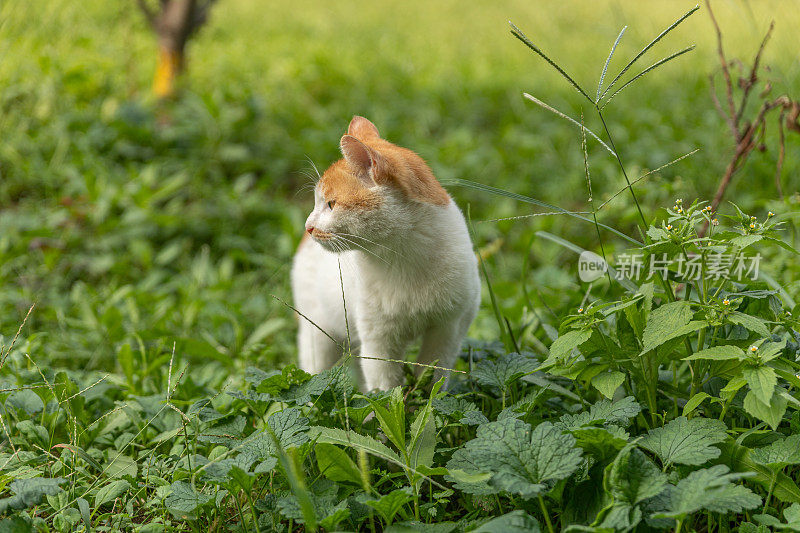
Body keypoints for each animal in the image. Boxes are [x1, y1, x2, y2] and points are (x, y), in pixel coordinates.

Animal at [292, 116, 482, 390]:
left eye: (331, 204)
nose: (308, 226)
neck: (402, 258)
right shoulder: (378, 341)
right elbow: (385, 388)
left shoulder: (449, 330)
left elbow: (433, 378)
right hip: (318, 336)